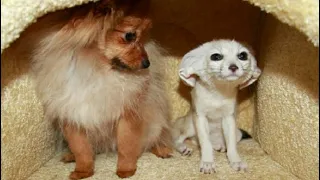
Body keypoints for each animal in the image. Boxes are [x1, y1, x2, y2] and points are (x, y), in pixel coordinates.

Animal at [30, 0, 172, 179]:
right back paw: (70, 155)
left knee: (154, 139)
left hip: (156, 123)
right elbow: (81, 149)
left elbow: (126, 146)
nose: (147, 63)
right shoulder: (72, 115)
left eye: (143, 36)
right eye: (130, 36)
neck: (95, 70)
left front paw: (126, 169)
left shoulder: (128, 114)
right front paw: (83, 170)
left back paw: (162, 149)